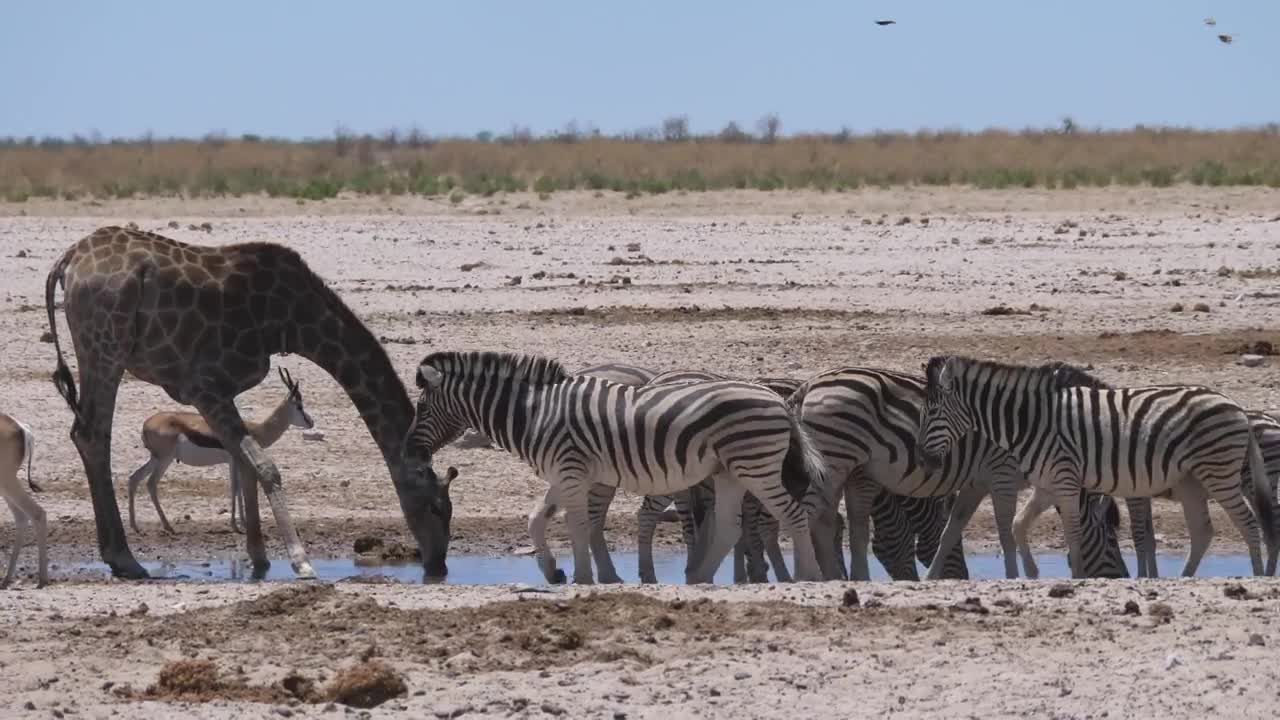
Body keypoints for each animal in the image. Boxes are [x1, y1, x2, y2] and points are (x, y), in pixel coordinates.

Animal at [43, 226, 448, 580]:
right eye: (435, 506)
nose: (437, 565)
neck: (291, 321)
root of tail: (68, 260)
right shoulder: (203, 384)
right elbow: (265, 466)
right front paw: (300, 561)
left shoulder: (223, 390)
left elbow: (244, 463)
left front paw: (259, 558)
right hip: (106, 347)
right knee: (93, 434)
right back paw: (125, 558)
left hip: (99, 349)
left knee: (86, 433)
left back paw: (119, 556)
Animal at [403, 351, 828, 585]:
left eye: (421, 408)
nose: (409, 453)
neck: (535, 412)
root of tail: (778, 398)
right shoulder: (565, 472)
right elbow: (537, 518)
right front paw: (553, 571)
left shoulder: (571, 469)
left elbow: (575, 524)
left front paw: (582, 577)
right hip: (730, 471)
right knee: (728, 526)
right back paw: (702, 577)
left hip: (755, 465)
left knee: (791, 513)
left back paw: (809, 574)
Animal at [917, 355, 1278, 578]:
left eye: (931, 411)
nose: (923, 459)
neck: (1031, 421)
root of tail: (1238, 408)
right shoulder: (1048, 485)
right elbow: (1019, 526)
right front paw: (1032, 574)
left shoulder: (1066, 481)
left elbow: (1074, 536)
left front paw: (1076, 577)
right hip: (1192, 482)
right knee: (1204, 532)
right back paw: (1184, 579)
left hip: (1219, 474)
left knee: (1250, 524)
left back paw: (1257, 576)